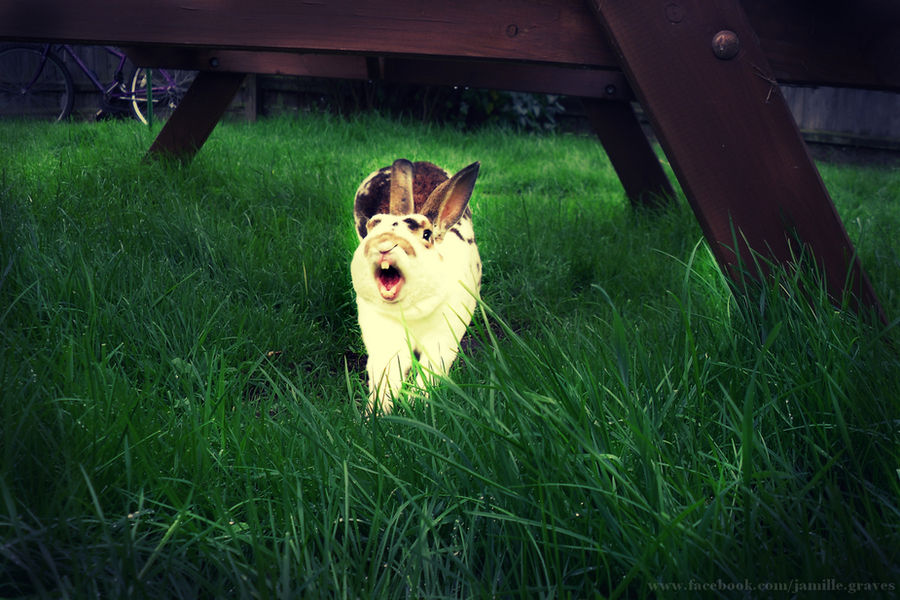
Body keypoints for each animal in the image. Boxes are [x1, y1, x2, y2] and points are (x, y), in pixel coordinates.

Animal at [351, 158, 482, 413]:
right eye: (372, 226)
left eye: (427, 234)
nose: (384, 244)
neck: (410, 311)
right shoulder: (384, 343)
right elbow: (385, 378)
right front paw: (375, 414)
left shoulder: (443, 339)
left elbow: (430, 373)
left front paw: (419, 404)